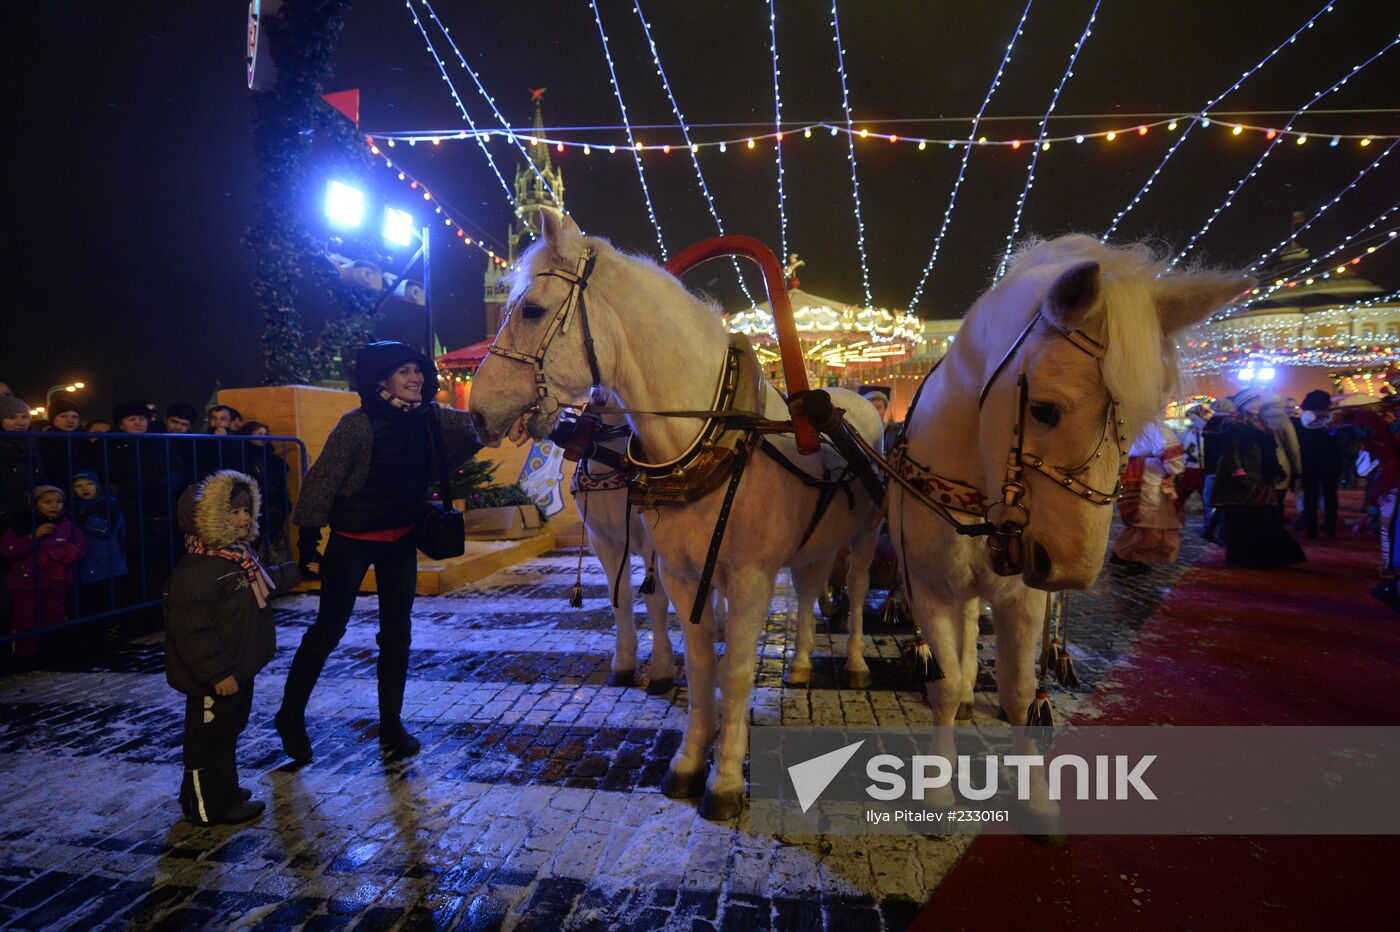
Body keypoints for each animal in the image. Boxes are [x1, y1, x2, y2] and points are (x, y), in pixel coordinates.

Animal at [476, 214, 879, 817]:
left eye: (532, 310)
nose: (476, 410)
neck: (711, 436)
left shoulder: (751, 578)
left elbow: (734, 672)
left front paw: (726, 778)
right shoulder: (678, 569)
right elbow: (696, 654)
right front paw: (689, 760)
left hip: (867, 535)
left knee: (852, 590)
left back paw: (852, 663)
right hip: (814, 543)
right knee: (810, 590)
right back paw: (803, 662)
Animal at [890, 233, 1243, 738]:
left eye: (1144, 417)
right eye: (1043, 409)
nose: (1071, 571)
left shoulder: (1024, 600)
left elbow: (1019, 696)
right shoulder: (929, 589)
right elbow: (944, 688)